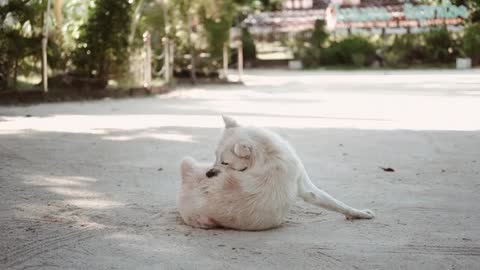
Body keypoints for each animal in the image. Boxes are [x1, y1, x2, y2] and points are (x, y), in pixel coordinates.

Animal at [177, 115, 376, 231]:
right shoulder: (305, 186)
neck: (267, 156)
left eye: (224, 161)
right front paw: (359, 213)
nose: (209, 174)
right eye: (215, 156)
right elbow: (335, 202)